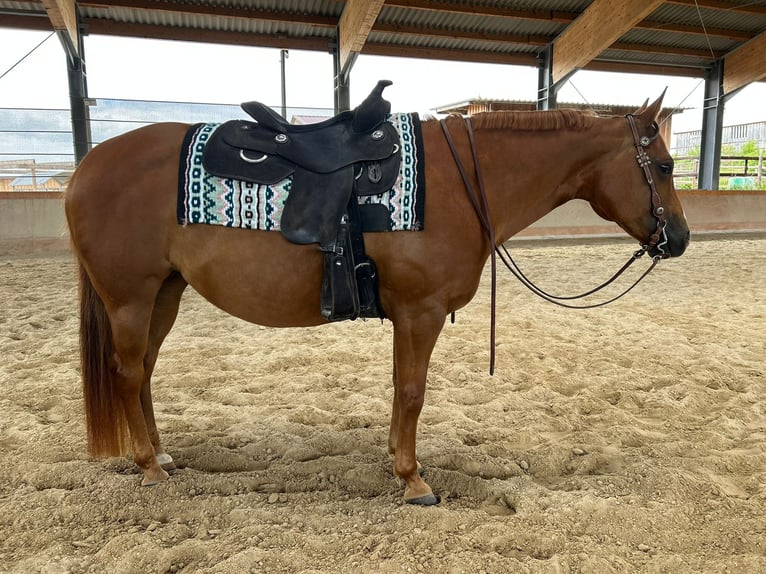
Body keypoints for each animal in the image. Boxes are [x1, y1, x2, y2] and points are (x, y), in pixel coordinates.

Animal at [65, 92, 689, 505]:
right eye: (664, 165)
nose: (679, 238)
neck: (460, 183)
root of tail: (87, 167)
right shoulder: (421, 311)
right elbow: (412, 392)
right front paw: (413, 480)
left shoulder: (409, 317)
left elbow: (399, 389)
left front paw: (397, 463)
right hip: (130, 298)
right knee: (126, 373)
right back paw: (149, 466)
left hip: (164, 293)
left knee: (145, 371)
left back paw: (162, 453)